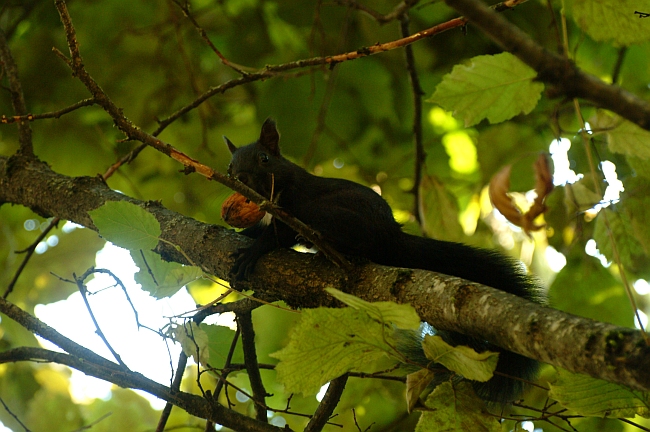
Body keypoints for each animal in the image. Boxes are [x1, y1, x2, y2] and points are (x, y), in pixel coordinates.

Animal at [225, 117, 544, 402]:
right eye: (230, 167)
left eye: (264, 158)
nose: (241, 178)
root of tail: (392, 234)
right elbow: (257, 231)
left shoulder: (293, 205)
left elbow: (276, 236)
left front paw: (252, 253)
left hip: (333, 214)